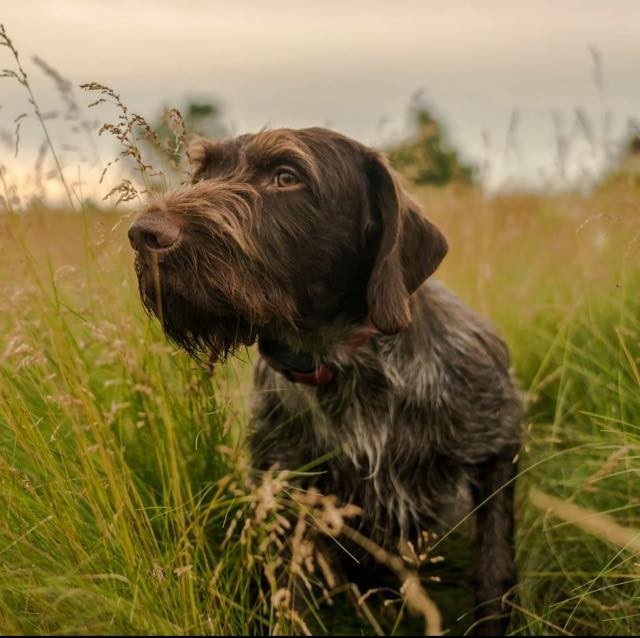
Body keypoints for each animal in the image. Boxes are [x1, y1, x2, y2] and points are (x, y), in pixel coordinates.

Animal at [129, 126, 520, 636]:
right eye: (203, 174)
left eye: (286, 176)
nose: (143, 234)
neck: (340, 363)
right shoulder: (283, 493)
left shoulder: (498, 447)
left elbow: (493, 568)